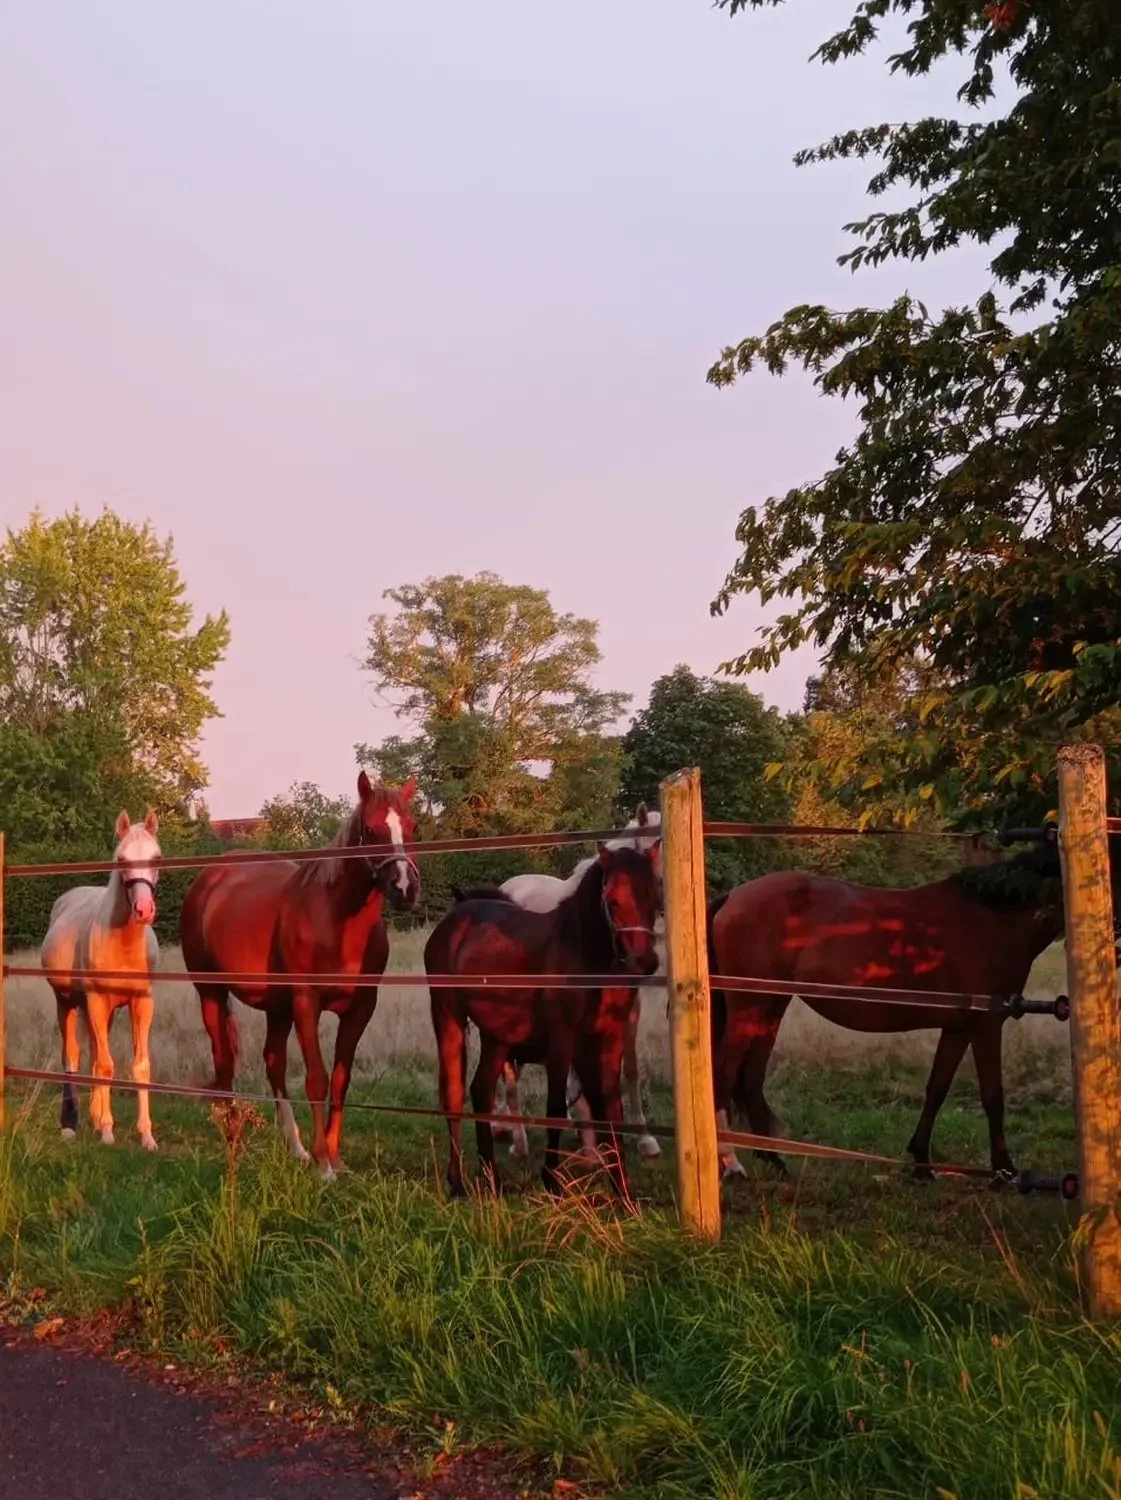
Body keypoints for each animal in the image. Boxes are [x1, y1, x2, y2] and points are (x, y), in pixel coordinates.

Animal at [41, 810, 162, 1150]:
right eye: (121, 859)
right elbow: (105, 1065)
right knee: (72, 1055)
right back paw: (70, 1124)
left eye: (157, 857)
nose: (144, 910)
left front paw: (146, 1136)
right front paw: (108, 1131)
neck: (122, 946)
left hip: (100, 1010)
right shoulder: (95, 1000)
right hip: (68, 1002)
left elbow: (139, 1066)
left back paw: (94, 1119)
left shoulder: (141, 1002)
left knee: (95, 1053)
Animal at [179, 771, 421, 1178]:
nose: (404, 887)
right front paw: (324, 1166)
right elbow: (317, 1079)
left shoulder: (360, 1009)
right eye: (370, 829)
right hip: (210, 993)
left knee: (273, 1063)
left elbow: (340, 1080)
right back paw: (234, 1140)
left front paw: (334, 1157)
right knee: (224, 1060)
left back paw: (295, 1147)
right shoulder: (308, 1002)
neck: (336, 923)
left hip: (277, 1008)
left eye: (412, 826)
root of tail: (210, 877)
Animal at [425, 842, 661, 1203]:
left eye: (654, 895)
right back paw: (458, 1184)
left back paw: (492, 1179)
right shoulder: (562, 1041)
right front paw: (552, 1182)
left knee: (481, 1090)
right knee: (453, 1095)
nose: (645, 961)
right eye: (613, 900)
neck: (586, 957)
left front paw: (624, 1192)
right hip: (448, 1017)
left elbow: (611, 1109)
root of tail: (453, 920)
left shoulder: (609, 1040)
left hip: (497, 1036)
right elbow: (557, 1108)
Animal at [707, 841, 1073, 1181]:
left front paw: (922, 1163)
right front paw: (1004, 1170)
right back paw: (732, 1164)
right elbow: (993, 1096)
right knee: (724, 1073)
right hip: (749, 1007)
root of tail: (733, 897)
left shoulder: (958, 1027)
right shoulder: (986, 1025)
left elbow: (937, 1089)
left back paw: (774, 1160)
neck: (992, 921)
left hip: (770, 1006)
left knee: (751, 1076)